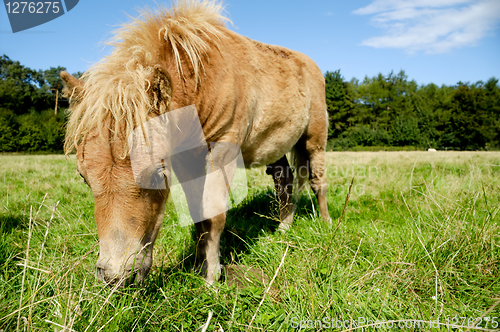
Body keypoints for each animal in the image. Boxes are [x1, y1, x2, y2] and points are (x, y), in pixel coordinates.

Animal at [60, 0, 332, 286]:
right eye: (84, 177)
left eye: (156, 175)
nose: (114, 276)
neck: (204, 79)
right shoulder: (184, 159)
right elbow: (197, 212)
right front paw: (200, 267)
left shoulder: (222, 150)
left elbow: (213, 213)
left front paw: (211, 279)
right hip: (276, 146)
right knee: (284, 180)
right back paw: (283, 228)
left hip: (314, 139)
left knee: (317, 180)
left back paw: (325, 223)